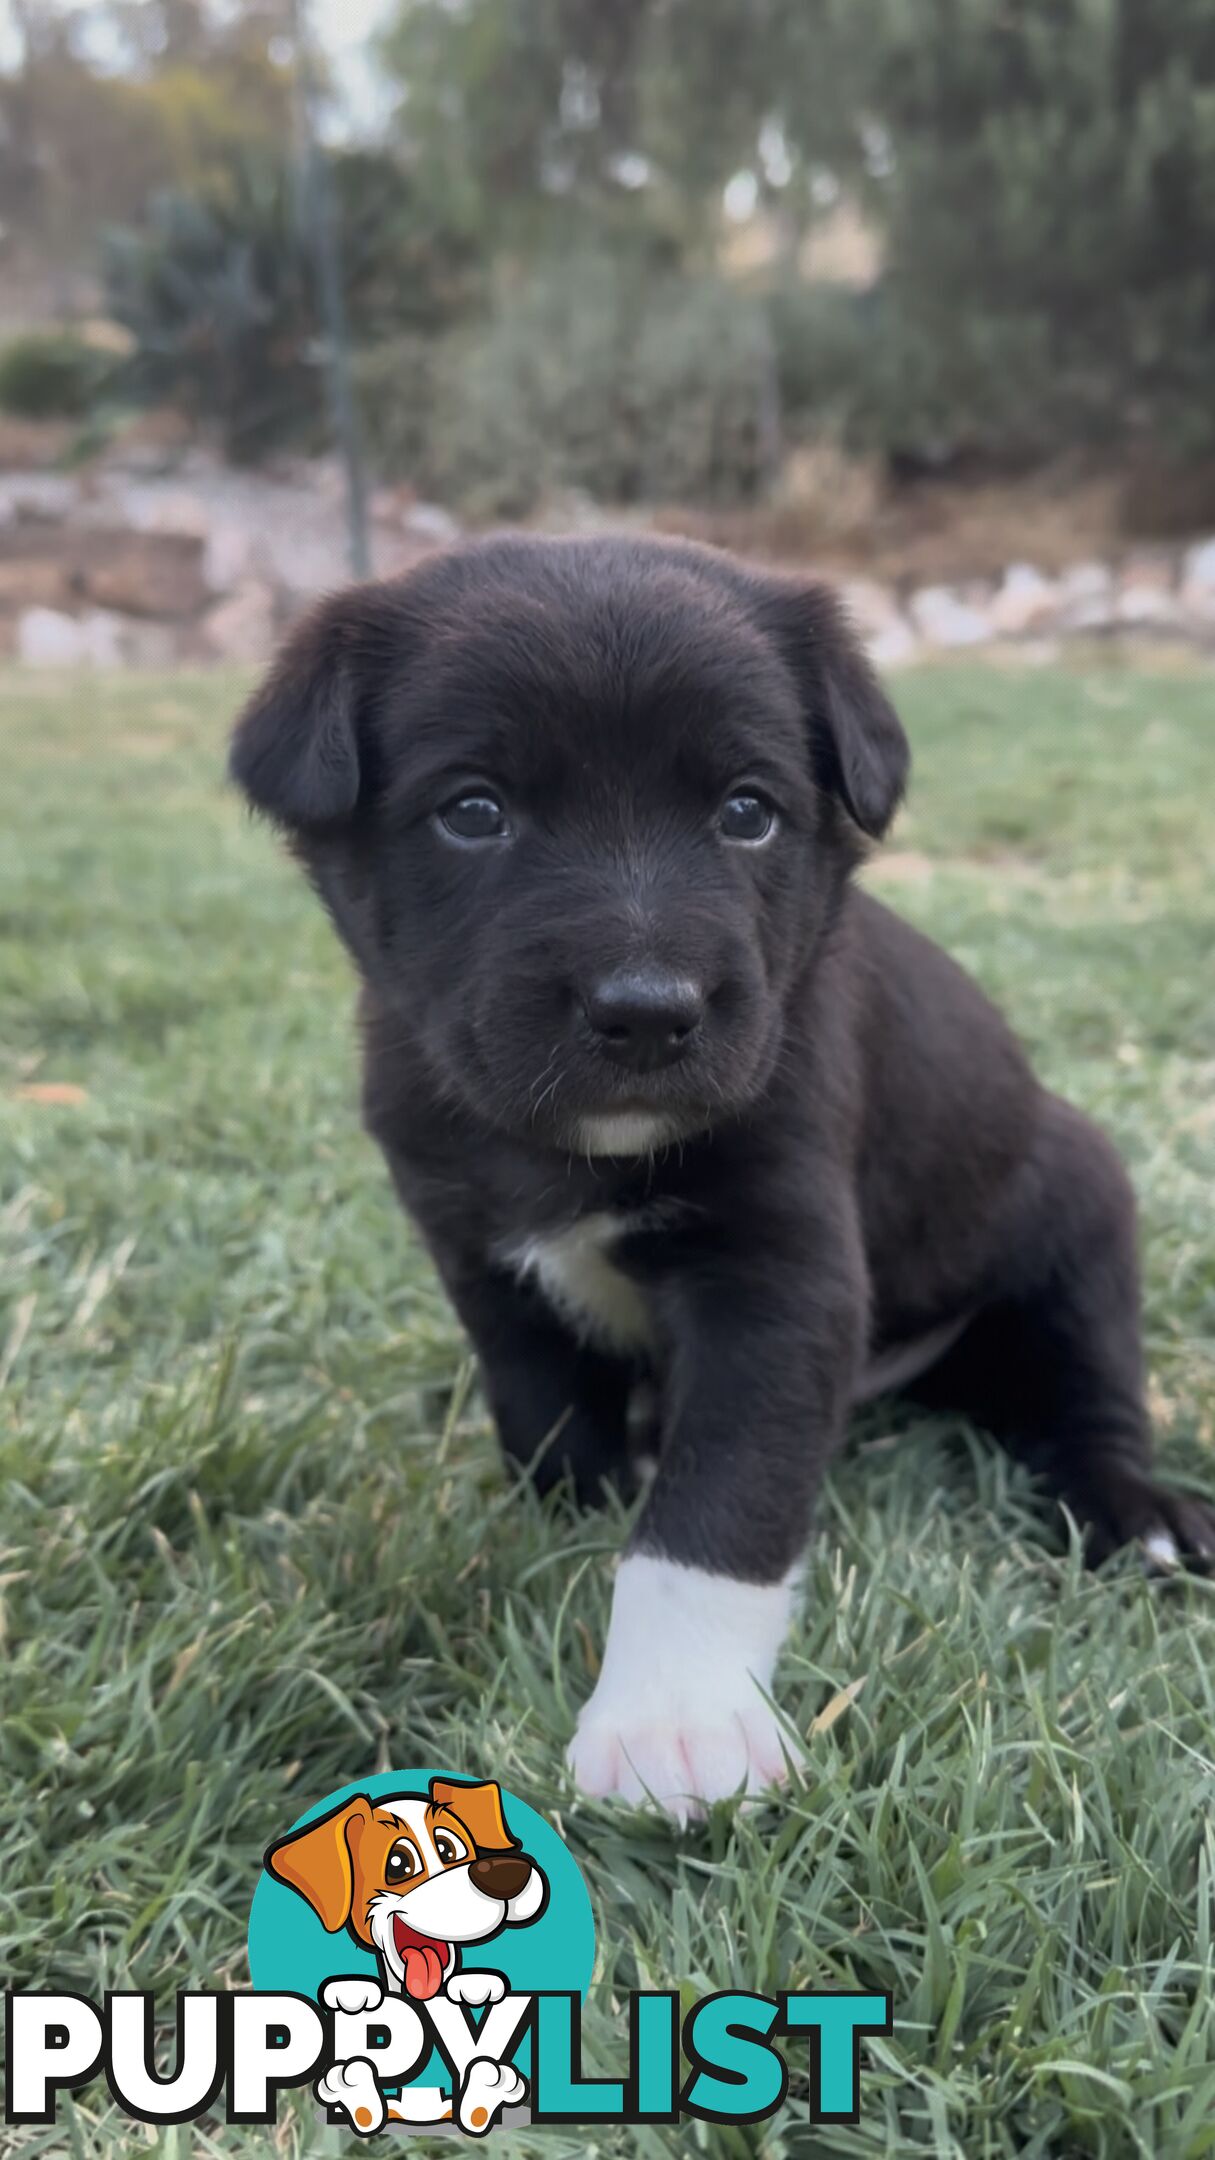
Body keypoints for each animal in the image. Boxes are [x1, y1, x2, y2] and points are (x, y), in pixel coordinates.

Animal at [231, 531, 1210, 1814]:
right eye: (473, 812)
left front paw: (672, 1717)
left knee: (1089, 1399)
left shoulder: (776, 1278)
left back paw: (1141, 1516)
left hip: (1079, 1203)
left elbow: (715, 1510)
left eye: (748, 812)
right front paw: (573, 1518)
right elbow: (545, 1415)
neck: (583, 1147)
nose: (649, 1012)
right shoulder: (480, 1256)